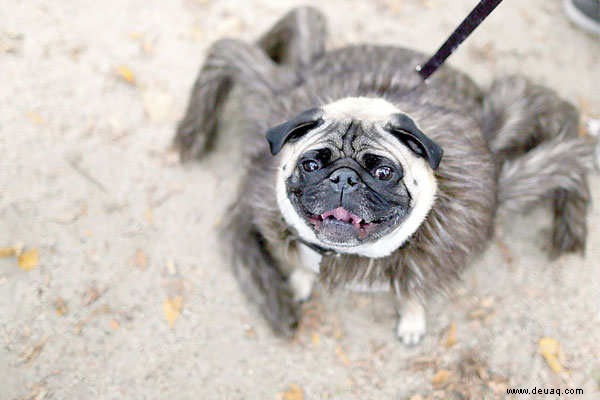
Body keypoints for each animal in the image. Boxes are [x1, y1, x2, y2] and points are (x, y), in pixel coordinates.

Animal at [175, 6, 596, 344]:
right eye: (312, 164)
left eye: (382, 171)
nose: (344, 178)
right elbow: (300, 263)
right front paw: (296, 284)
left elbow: (414, 292)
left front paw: (411, 321)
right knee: (251, 43)